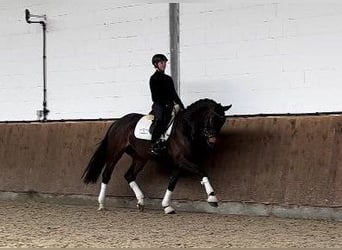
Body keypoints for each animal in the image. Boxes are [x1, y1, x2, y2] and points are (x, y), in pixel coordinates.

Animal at [82, 98, 232, 214]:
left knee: (129, 175)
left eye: (223, 120)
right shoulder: (182, 159)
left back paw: (141, 202)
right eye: (212, 118)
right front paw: (212, 198)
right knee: (106, 175)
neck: (185, 128)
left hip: (140, 157)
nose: (212, 141)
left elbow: (172, 182)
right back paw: (101, 204)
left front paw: (167, 207)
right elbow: (202, 171)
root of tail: (117, 122)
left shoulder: (179, 163)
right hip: (115, 153)